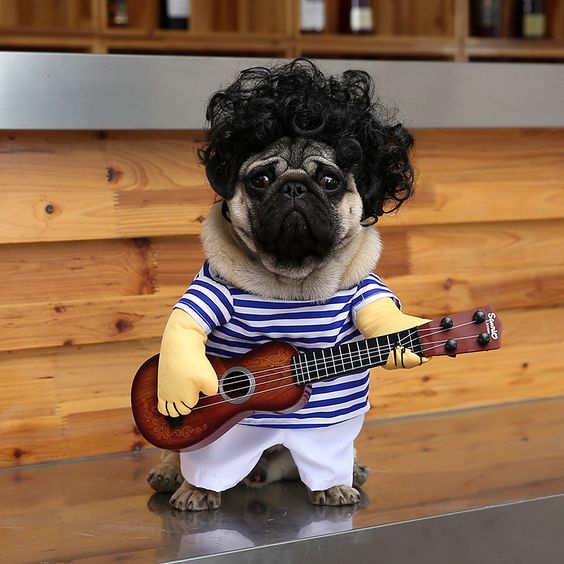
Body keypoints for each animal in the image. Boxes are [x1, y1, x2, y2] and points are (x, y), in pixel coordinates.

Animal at [148, 58, 430, 512]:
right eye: (260, 180)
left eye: (330, 181)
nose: (295, 186)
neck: (291, 280)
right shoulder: (212, 289)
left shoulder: (364, 288)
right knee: (189, 452)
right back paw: (185, 481)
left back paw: (343, 475)